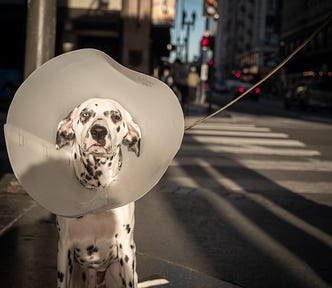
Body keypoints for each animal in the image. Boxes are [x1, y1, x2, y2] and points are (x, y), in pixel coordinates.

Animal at [54, 98, 141, 286]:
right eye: (85, 114)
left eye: (116, 116)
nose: (99, 131)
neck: (97, 190)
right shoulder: (64, 248)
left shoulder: (125, 249)